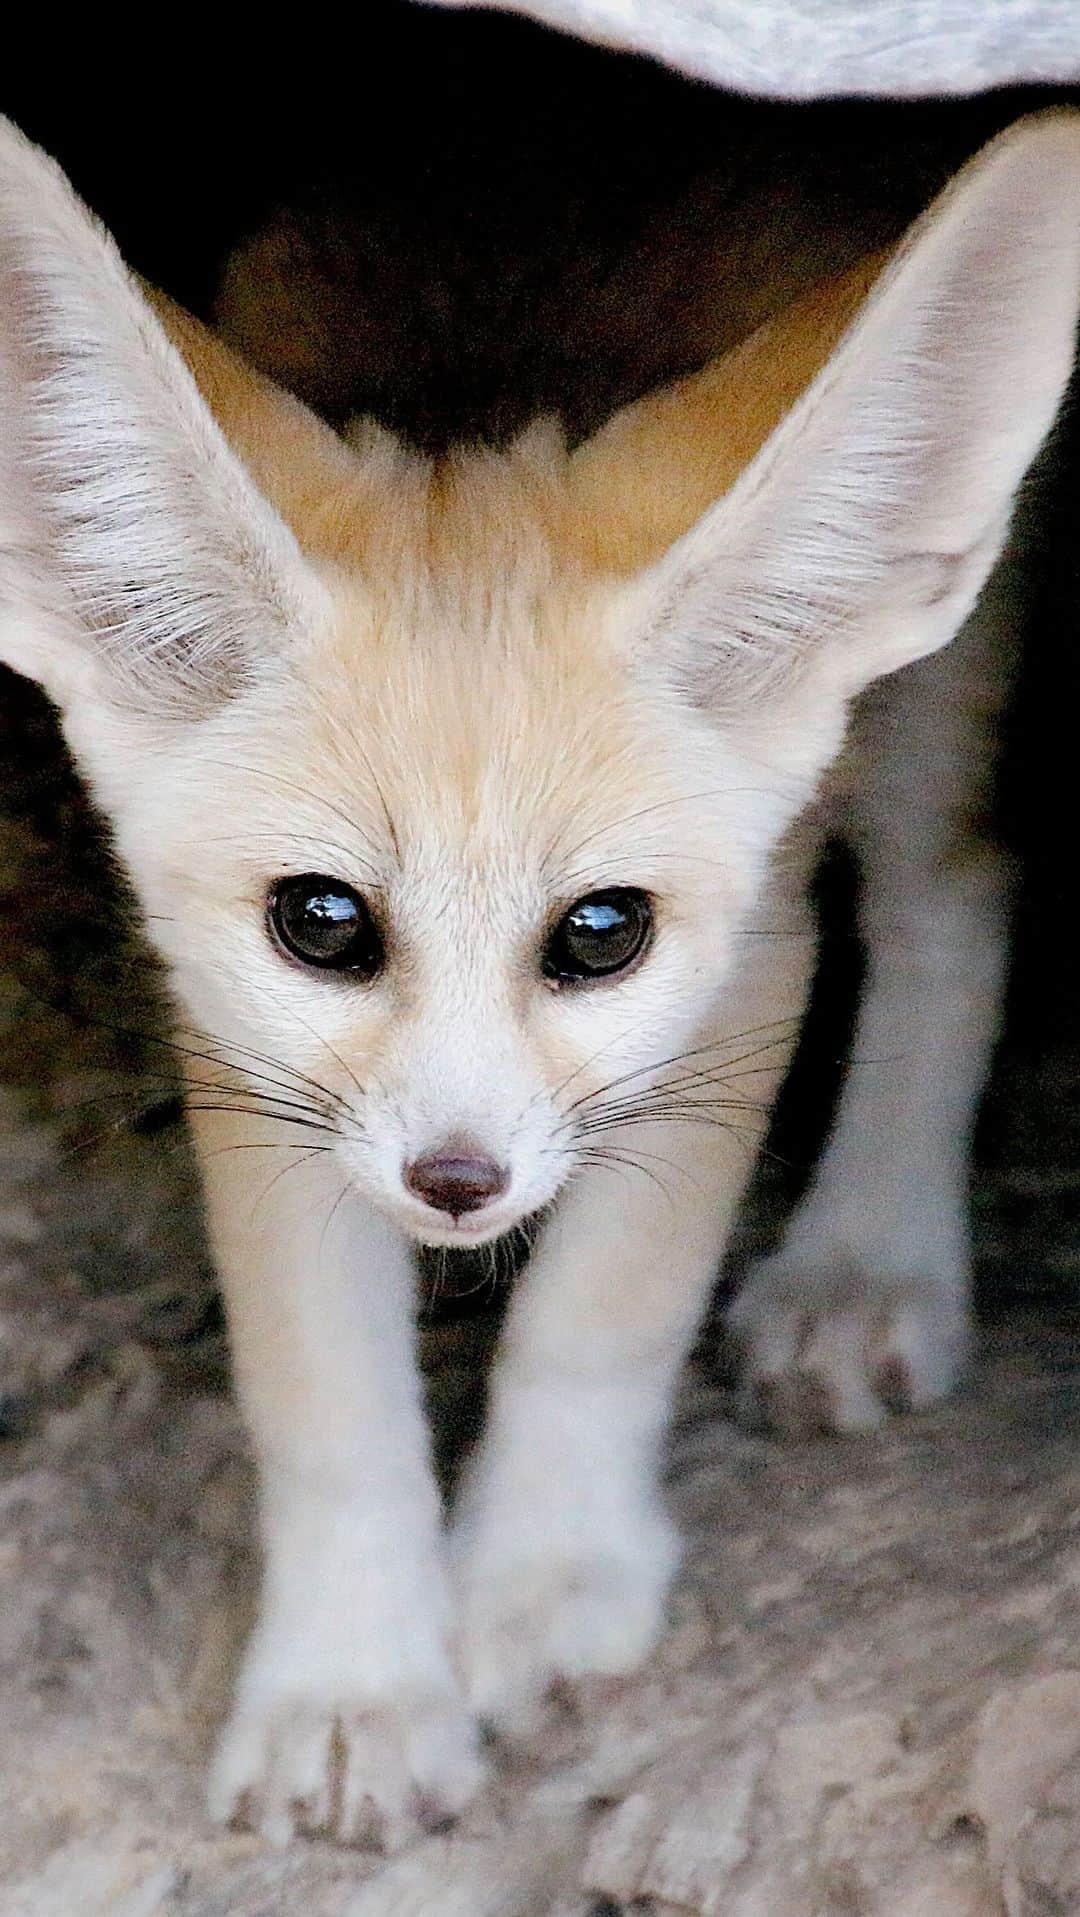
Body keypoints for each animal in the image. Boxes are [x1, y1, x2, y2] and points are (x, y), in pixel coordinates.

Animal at [0, 112, 1078, 1850]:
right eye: (323, 921)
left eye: (600, 932)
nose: (458, 1182)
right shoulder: (247, 1045)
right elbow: (324, 1399)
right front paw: (356, 1683)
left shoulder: (744, 967)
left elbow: (602, 1315)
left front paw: (544, 1578)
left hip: (921, 699)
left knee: (954, 902)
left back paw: (868, 1261)